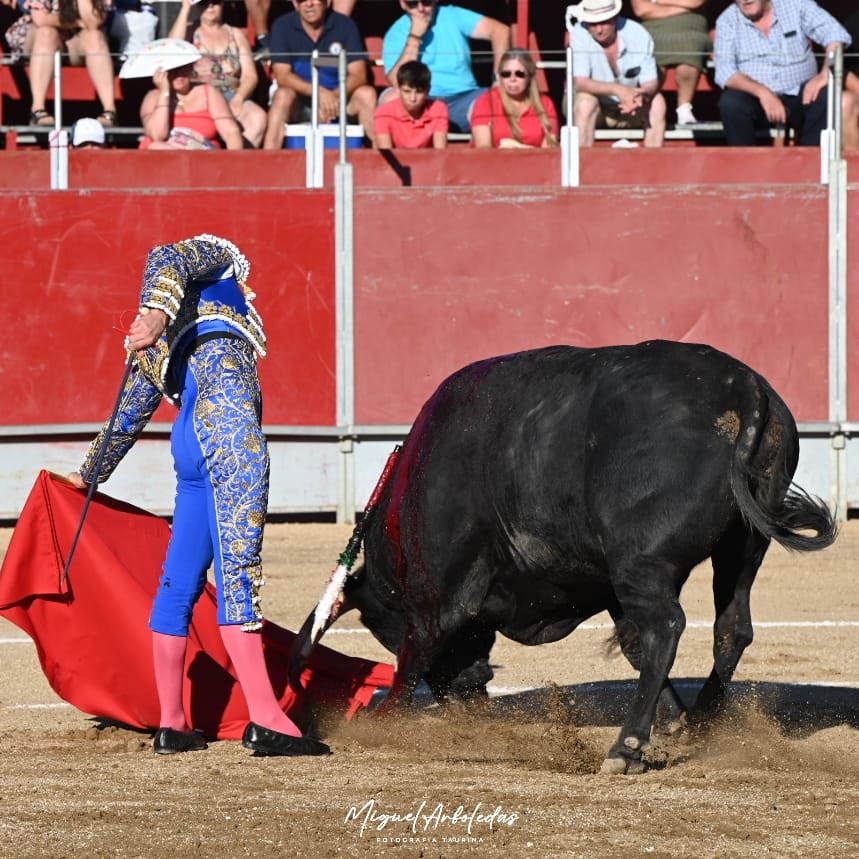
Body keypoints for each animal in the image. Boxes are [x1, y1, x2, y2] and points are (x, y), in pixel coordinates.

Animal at [292, 340, 836, 772]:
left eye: (381, 628)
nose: (470, 692)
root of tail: (743, 388)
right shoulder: (608, 584)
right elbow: (632, 645)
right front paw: (677, 723)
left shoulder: (437, 596)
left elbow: (414, 655)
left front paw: (377, 722)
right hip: (740, 548)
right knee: (729, 628)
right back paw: (703, 721)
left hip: (642, 562)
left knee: (666, 628)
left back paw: (624, 748)